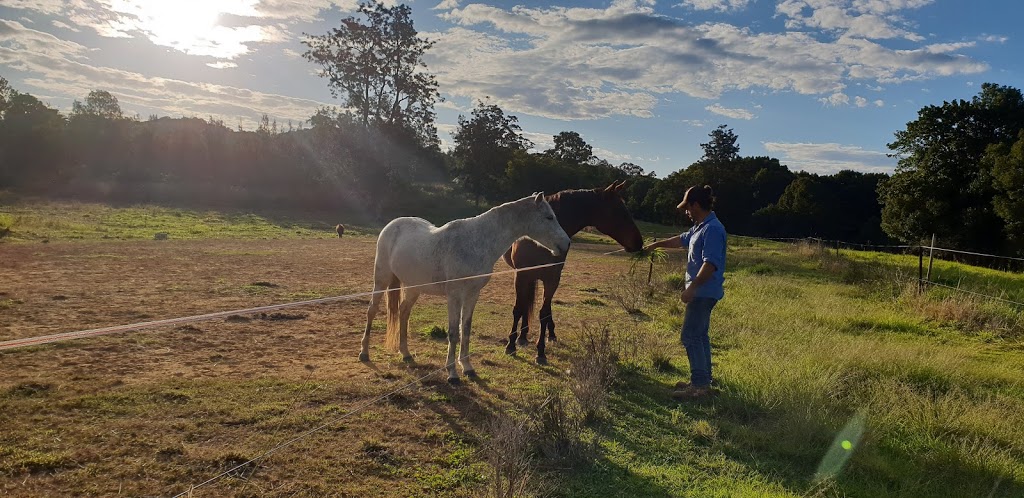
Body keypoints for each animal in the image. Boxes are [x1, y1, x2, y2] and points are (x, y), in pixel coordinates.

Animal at [360, 192, 573, 383]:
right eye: (549, 217)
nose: (566, 244)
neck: (475, 243)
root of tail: (392, 225)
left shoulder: (472, 294)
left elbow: (466, 329)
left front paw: (468, 367)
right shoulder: (454, 296)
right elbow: (454, 332)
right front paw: (452, 373)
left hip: (413, 287)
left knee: (403, 313)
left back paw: (405, 353)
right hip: (381, 280)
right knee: (372, 310)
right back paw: (364, 353)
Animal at [501, 181, 638, 364]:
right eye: (620, 211)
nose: (639, 242)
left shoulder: (552, 278)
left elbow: (544, 313)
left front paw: (541, 351)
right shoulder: (521, 276)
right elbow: (518, 309)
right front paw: (510, 344)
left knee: (545, 308)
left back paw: (542, 334)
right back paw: (522, 336)